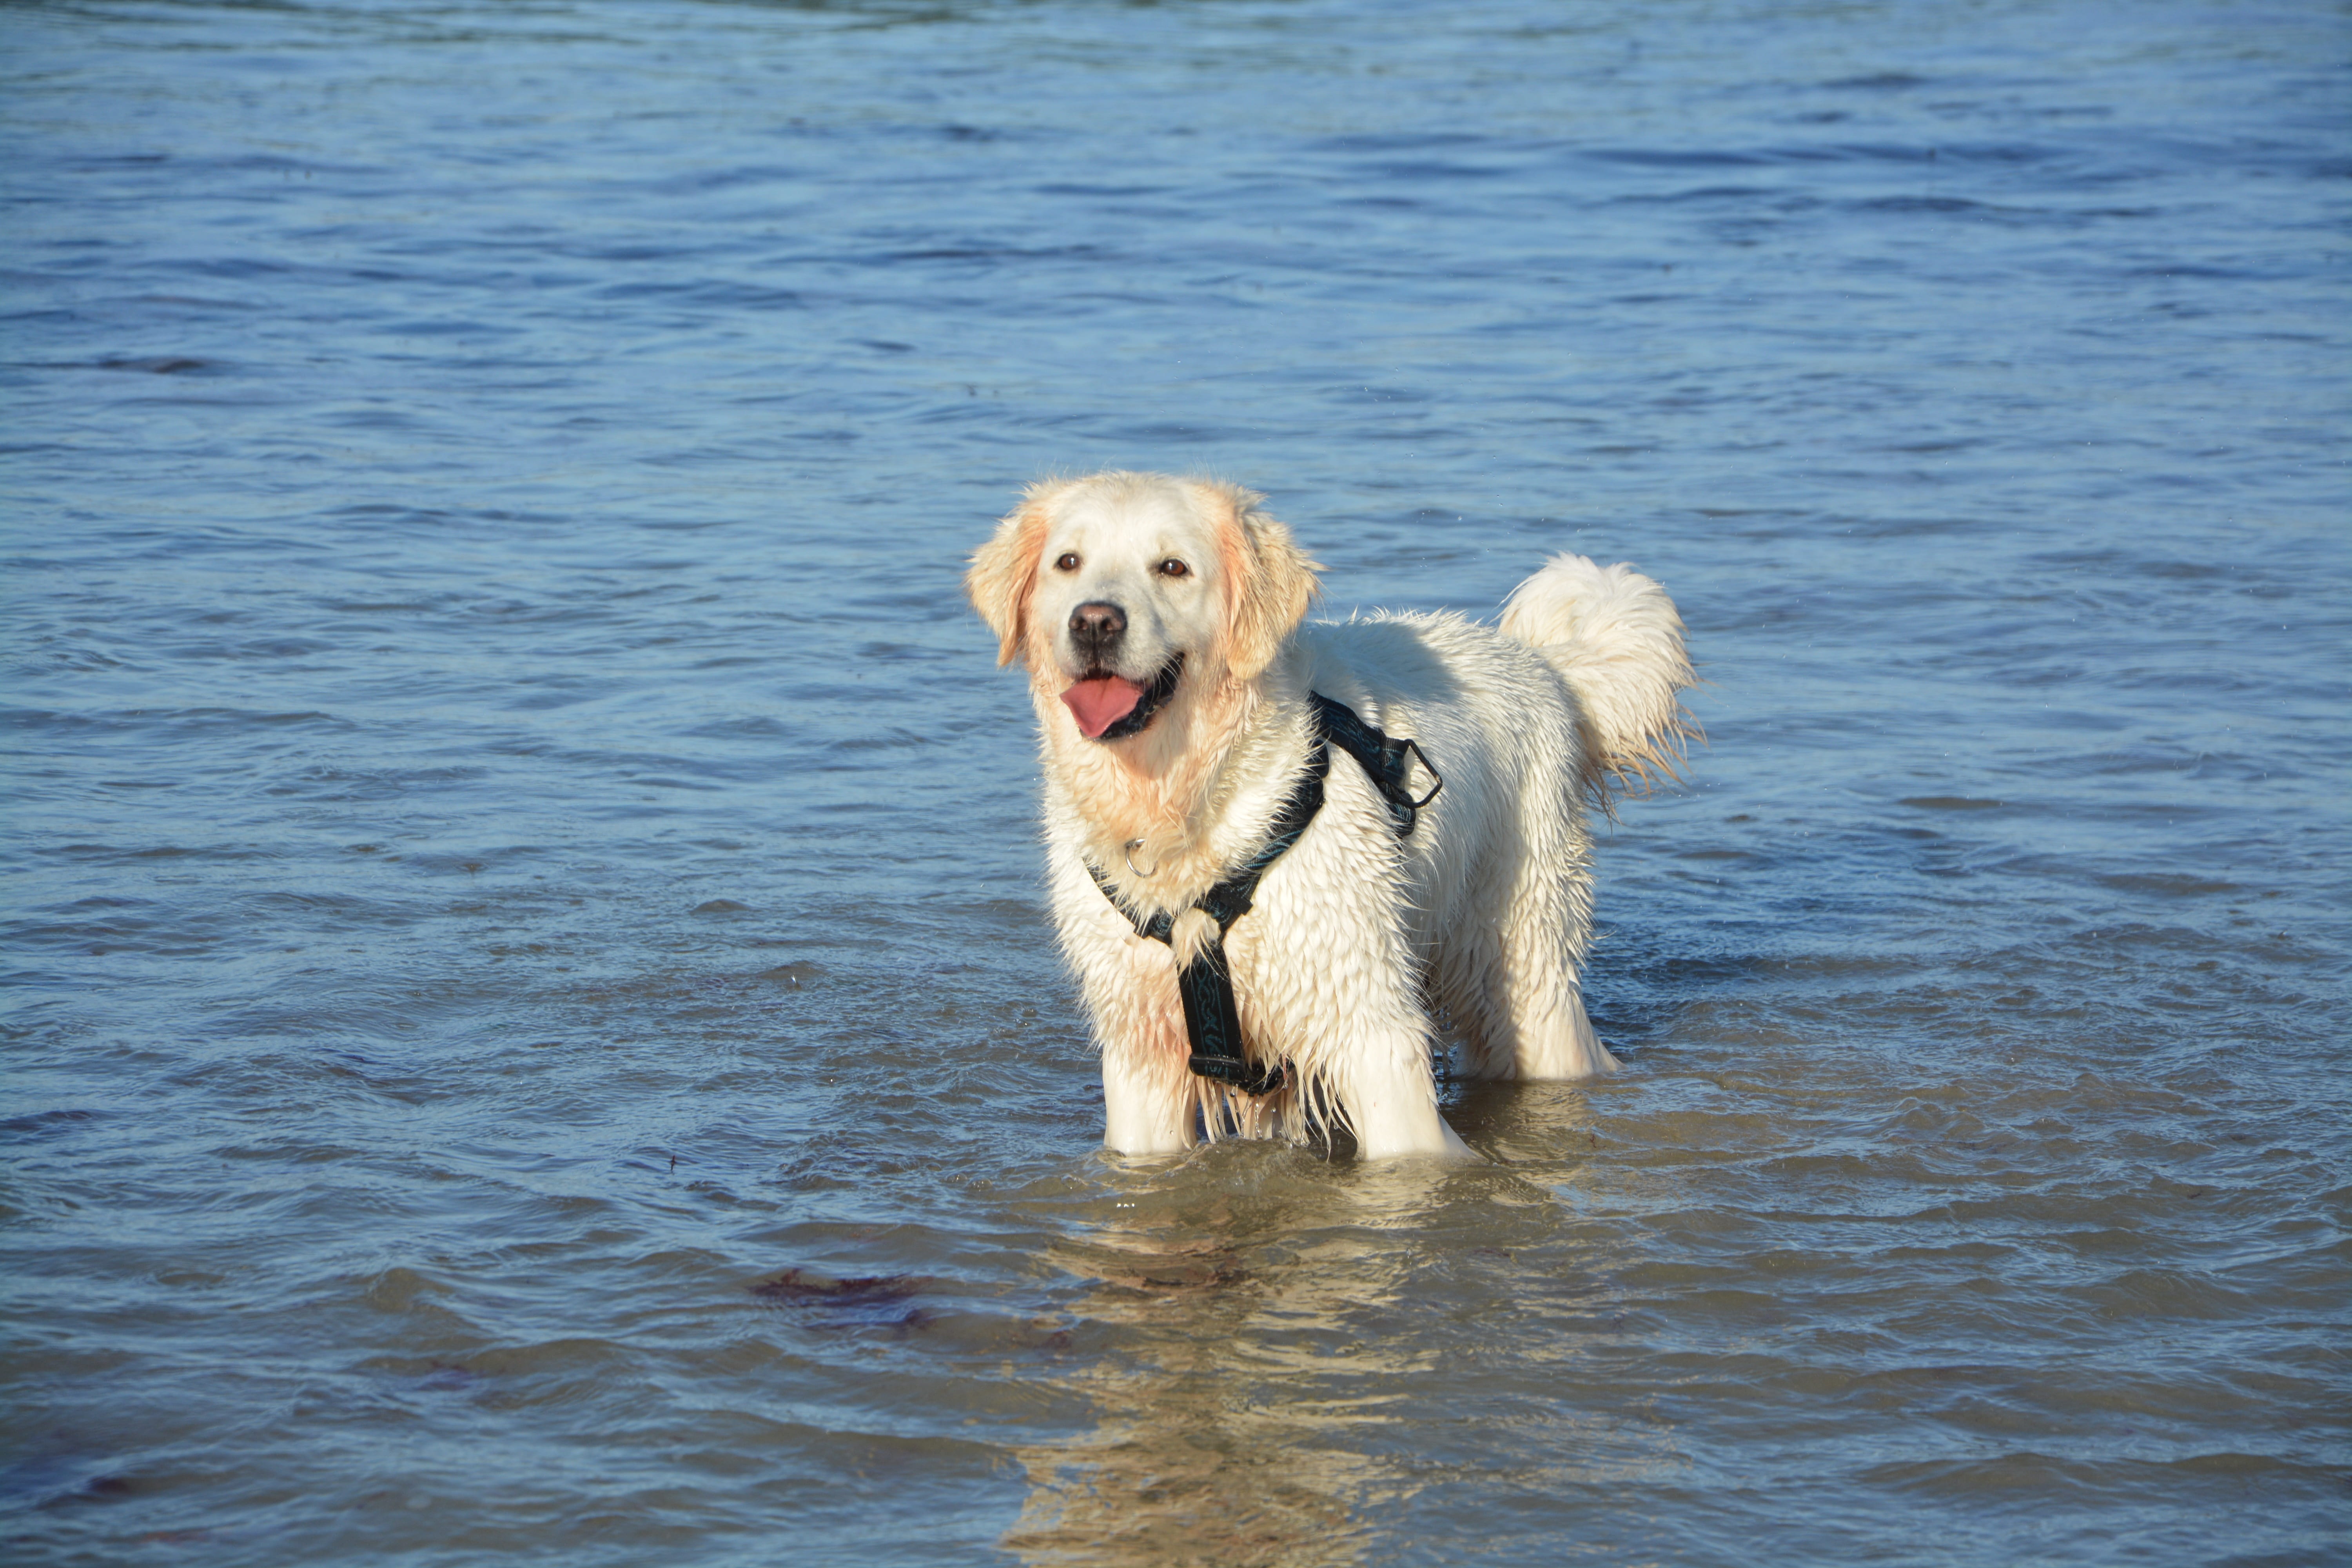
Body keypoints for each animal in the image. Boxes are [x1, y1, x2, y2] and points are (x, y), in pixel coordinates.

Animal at [964, 472, 1703, 1161]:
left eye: (1172, 567)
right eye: (1068, 563)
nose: (1094, 622)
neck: (1185, 801)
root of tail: (1544, 666)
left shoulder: (1367, 1020)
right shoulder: (1140, 1046)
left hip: (1524, 959)